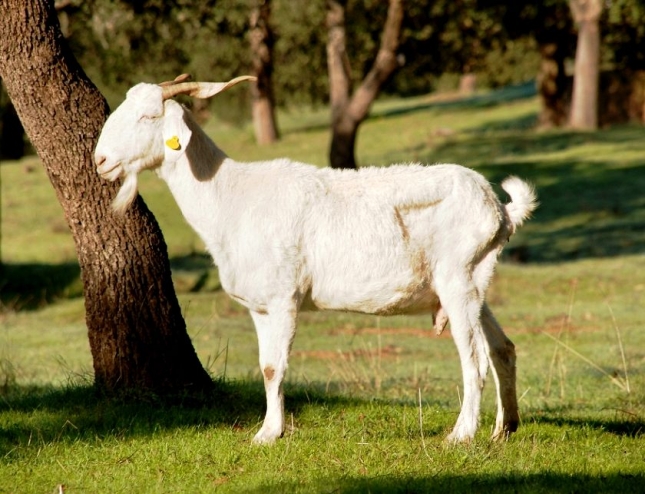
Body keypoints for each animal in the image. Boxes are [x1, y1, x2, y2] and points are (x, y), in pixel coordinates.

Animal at [94, 74, 540, 444]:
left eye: (148, 116)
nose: (100, 160)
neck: (231, 197)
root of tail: (500, 211)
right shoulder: (259, 306)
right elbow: (265, 366)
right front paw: (268, 429)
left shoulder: (283, 297)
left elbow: (276, 367)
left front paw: (268, 435)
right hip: (475, 282)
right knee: (503, 349)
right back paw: (504, 429)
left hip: (457, 278)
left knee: (474, 357)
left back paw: (462, 435)